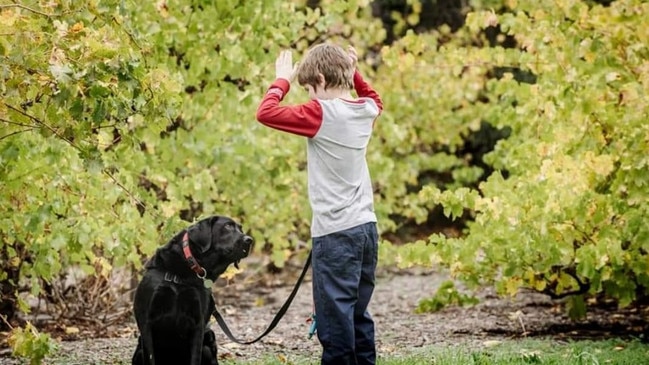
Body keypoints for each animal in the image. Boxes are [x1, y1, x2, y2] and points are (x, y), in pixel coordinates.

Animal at [132, 215, 253, 362]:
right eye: (228, 226)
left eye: (241, 229)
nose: (249, 240)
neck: (182, 274)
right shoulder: (146, 321)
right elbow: (150, 357)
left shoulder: (198, 324)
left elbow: (195, 357)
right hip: (139, 350)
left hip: (208, 342)